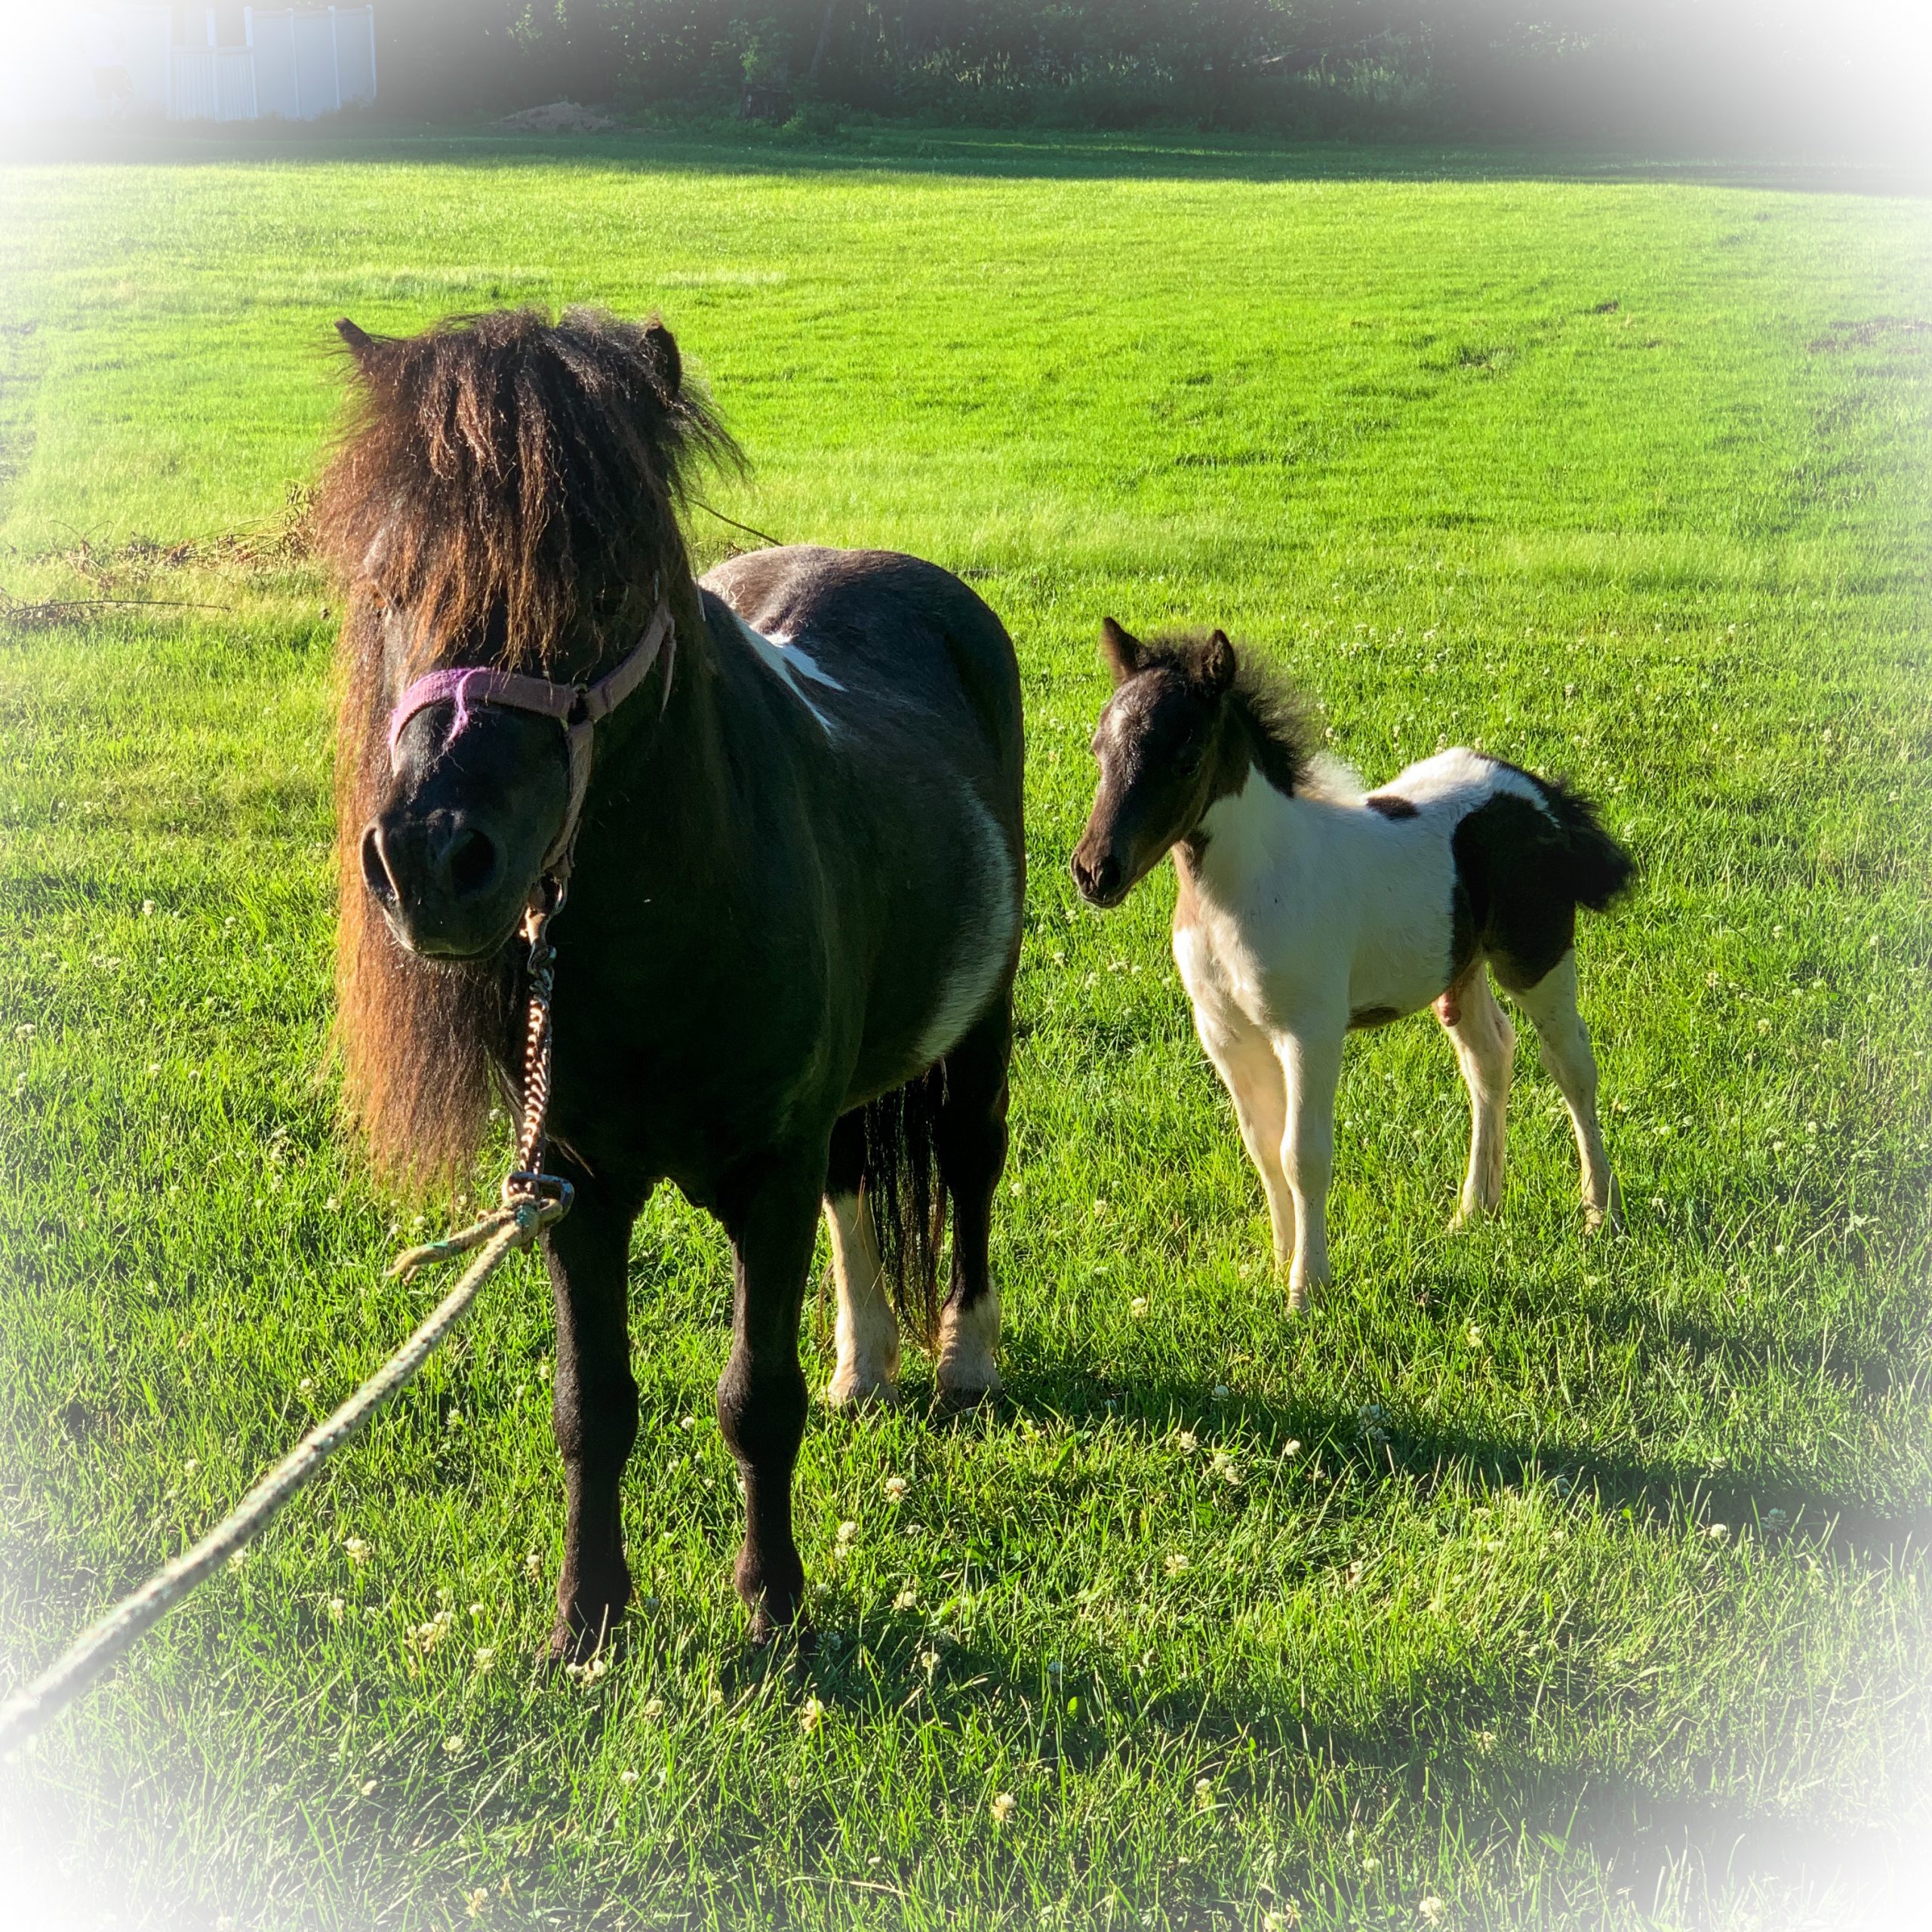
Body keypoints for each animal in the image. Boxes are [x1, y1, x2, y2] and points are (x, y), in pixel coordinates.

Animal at [319, 307, 1025, 1656]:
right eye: (388, 582)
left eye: (602, 588)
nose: (431, 860)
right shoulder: (573, 1189)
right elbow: (592, 1403)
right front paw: (586, 1622)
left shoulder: (769, 1177)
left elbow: (756, 1398)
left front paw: (775, 1613)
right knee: (864, 1178)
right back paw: (868, 1364)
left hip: (980, 1031)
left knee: (966, 1163)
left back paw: (962, 1361)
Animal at [1069, 619, 1632, 1308]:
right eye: (1098, 749)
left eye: (1186, 758)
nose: (1095, 872)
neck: (1249, 887)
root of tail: (1538, 793)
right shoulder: (1225, 1033)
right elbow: (1263, 1148)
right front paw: (1277, 1264)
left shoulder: (1309, 1031)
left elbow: (1302, 1155)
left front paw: (1306, 1288)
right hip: (1460, 967)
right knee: (1490, 1057)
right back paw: (1475, 1210)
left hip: (1536, 956)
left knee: (1573, 1065)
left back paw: (1599, 1210)